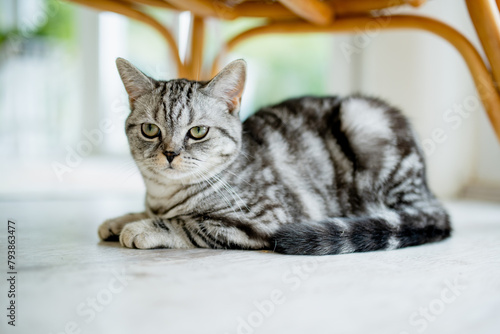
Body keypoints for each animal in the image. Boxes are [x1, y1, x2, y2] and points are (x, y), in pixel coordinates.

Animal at [96, 58, 450, 256]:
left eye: (197, 132)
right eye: (150, 130)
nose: (170, 153)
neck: (164, 194)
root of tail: (428, 190)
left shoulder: (265, 217)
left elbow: (188, 223)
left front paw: (143, 227)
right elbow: (147, 211)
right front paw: (121, 219)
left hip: (363, 122)